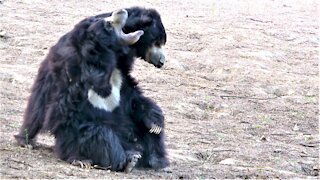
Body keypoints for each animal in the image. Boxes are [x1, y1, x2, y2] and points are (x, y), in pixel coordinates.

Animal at [14, 7, 170, 171]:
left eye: (160, 42)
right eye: (109, 24)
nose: (162, 61)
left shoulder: (120, 73)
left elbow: (133, 98)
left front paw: (155, 123)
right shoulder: (75, 76)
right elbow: (64, 112)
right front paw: (80, 159)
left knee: (149, 136)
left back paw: (156, 159)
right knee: (97, 133)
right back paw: (128, 159)